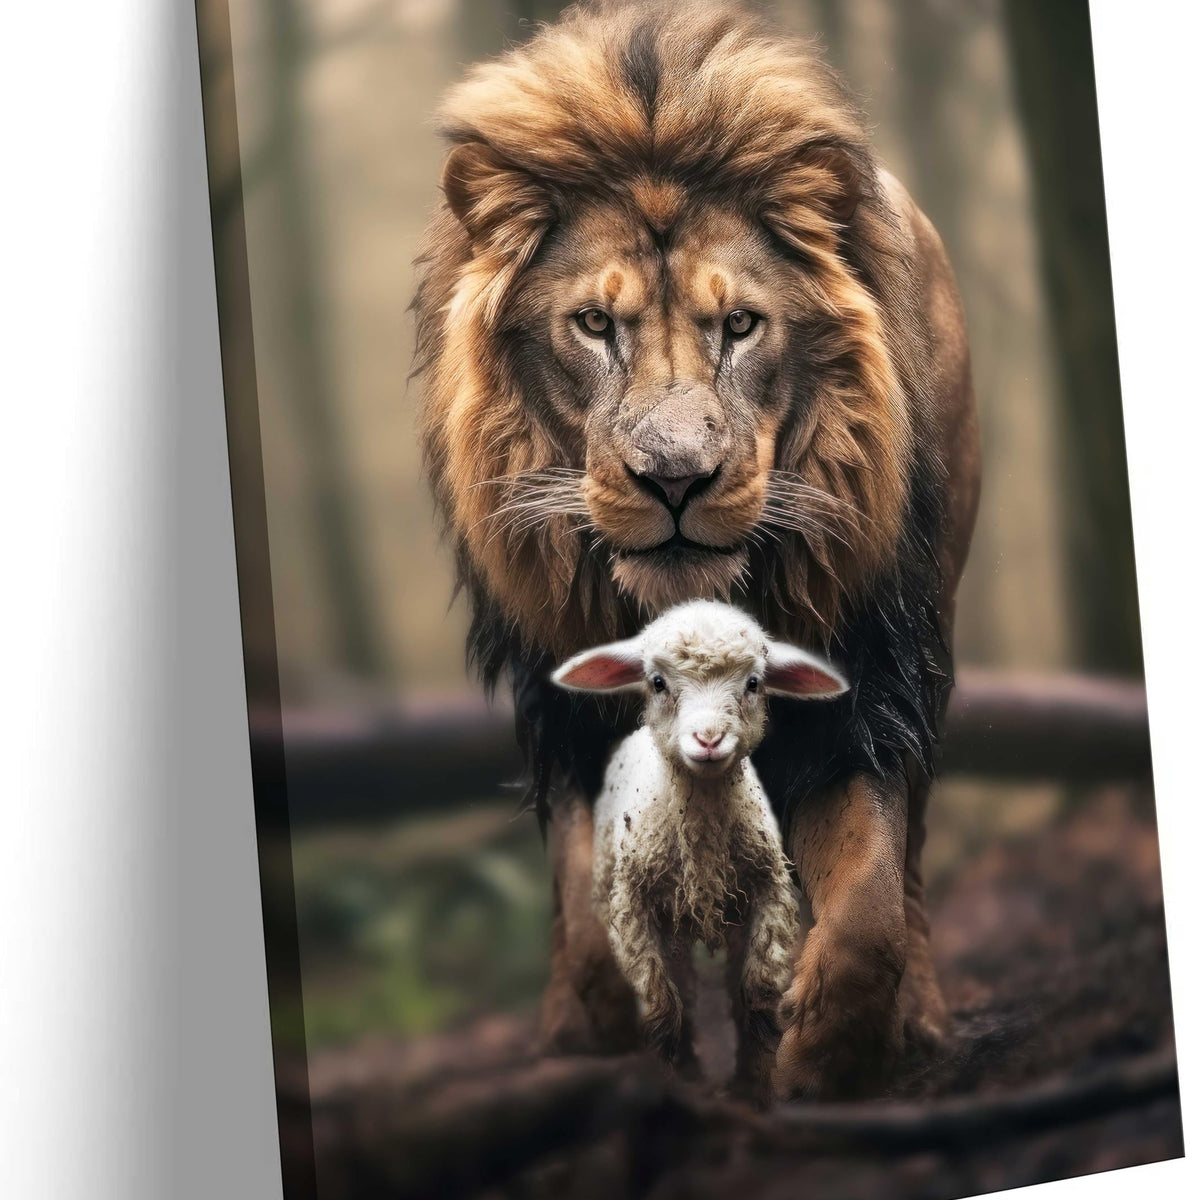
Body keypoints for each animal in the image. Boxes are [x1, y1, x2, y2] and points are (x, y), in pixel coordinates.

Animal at [552, 600, 849, 1104]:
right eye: (657, 682)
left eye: (753, 683)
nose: (708, 740)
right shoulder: (631, 908)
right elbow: (661, 1007)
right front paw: (669, 1078)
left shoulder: (769, 892)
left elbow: (755, 994)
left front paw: (754, 1084)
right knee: (683, 991)